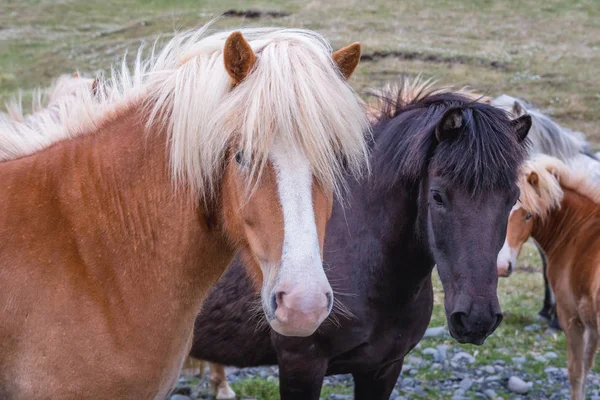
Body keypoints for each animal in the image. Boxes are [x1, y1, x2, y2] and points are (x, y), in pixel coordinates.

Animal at [496, 156, 600, 400]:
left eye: (528, 215)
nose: (502, 266)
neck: (577, 229)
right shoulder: (591, 325)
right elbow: (587, 367)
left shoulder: (571, 317)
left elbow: (576, 372)